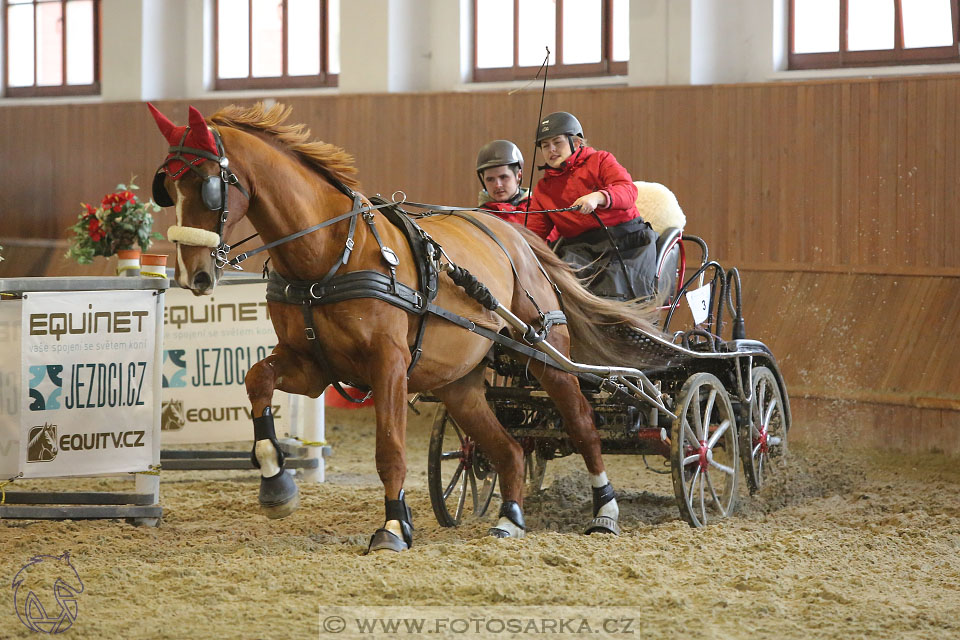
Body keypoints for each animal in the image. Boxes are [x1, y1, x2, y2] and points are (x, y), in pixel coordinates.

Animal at [148, 102, 660, 552]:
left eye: (208, 185)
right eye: (167, 187)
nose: (192, 275)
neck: (328, 254)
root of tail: (516, 234)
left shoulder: (388, 365)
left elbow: (390, 449)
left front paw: (394, 526)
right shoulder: (311, 366)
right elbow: (258, 380)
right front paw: (277, 485)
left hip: (546, 352)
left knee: (582, 426)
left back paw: (604, 511)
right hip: (459, 384)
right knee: (510, 449)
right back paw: (510, 518)